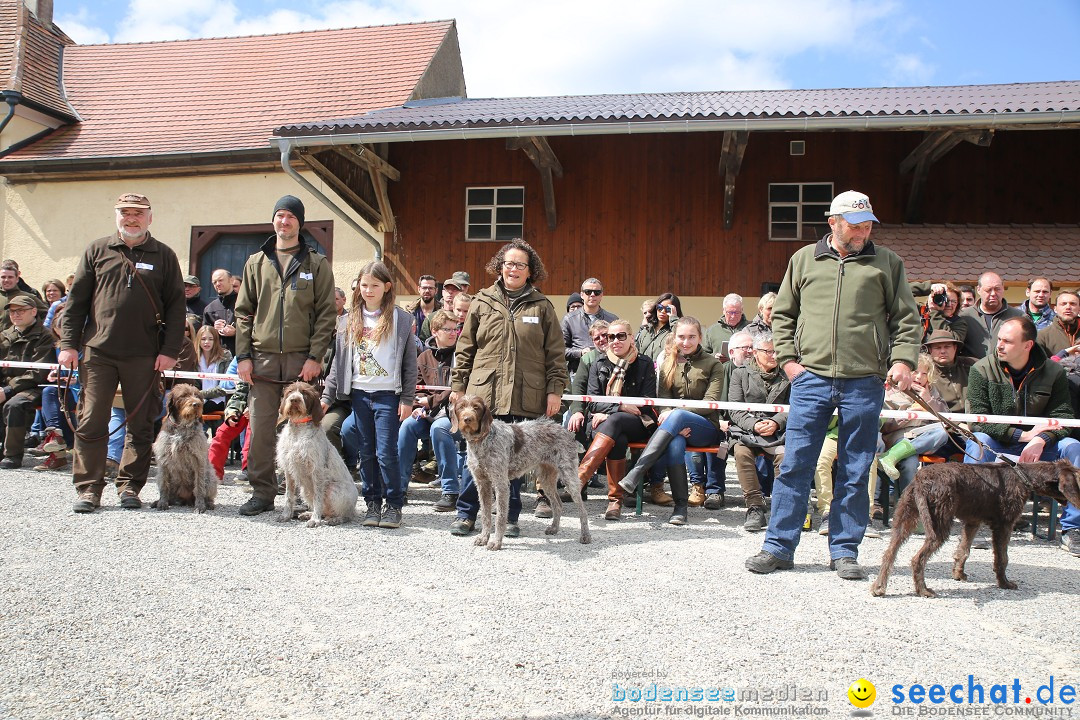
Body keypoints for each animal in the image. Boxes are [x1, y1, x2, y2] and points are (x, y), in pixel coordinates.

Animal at [150, 382, 217, 511]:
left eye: (197, 396)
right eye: (183, 396)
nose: (197, 404)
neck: (183, 426)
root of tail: (186, 500)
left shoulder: (198, 460)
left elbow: (199, 486)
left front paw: (200, 505)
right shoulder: (163, 459)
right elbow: (164, 485)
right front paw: (162, 503)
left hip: (210, 476)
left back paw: (208, 503)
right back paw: (160, 501)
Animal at [276, 382, 360, 528]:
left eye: (304, 393)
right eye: (290, 392)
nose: (294, 400)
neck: (298, 429)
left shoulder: (317, 471)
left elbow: (318, 498)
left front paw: (315, 519)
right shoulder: (289, 470)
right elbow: (288, 496)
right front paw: (286, 515)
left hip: (333, 490)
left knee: (347, 515)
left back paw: (335, 519)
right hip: (304, 490)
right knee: (326, 511)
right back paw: (308, 514)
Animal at [451, 397, 596, 548]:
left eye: (476, 407)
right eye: (461, 407)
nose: (467, 419)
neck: (482, 440)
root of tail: (568, 433)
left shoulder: (501, 484)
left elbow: (500, 517)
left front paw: (496, 542)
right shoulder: (482, 483)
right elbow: (485, 515)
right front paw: (484, 537)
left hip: (569, 478)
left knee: (582, 510)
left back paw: (585, 535)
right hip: (546, 479)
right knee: (558, 504)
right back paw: (554, 528)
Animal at [868, 459, 1080, 600]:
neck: (1023, 477)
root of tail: (922, 478)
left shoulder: (973, 522)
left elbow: (964, 551)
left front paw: (958, 574)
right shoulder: (1004, 525)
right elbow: (1002, 558)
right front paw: (1004, 583)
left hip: (904, 521)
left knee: (889, 553)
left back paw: (879, 587)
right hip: (938, 525)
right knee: (917, 559)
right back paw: (923, 590)